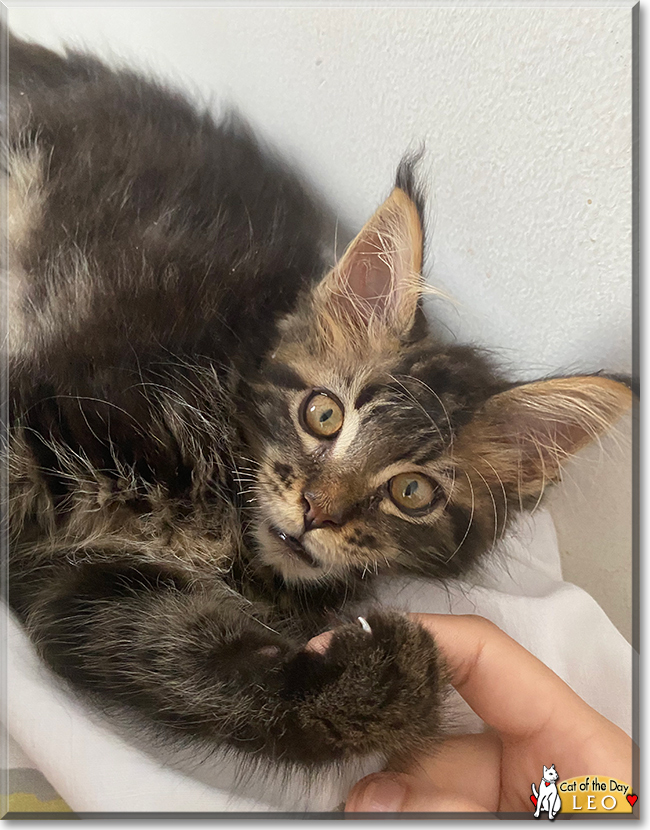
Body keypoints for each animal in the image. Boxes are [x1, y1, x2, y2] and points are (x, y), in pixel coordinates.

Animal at [5, 30, 632, 772]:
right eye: (323, 415)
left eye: (412, 492)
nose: (316, 511)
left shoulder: (81, 589)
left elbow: (178, 660)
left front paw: (381, 681)